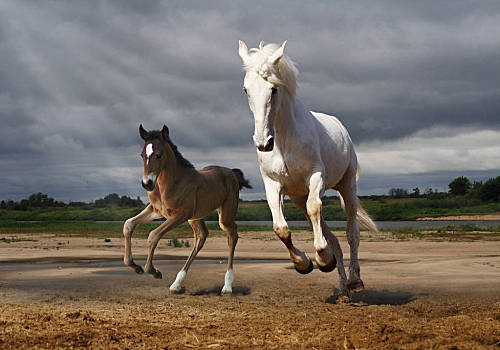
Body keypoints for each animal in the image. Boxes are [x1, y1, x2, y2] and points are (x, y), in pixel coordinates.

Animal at [237, 41, 376, 296]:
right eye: (246, 89)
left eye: (274, 89)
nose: (263, 142)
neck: (284, 141)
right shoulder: (273, 186)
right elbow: (280, 228)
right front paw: (306, 264)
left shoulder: (316, 177)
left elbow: (315, 208)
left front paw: (322, 259)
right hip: (298, 196)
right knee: (332, 237)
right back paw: (342, 288)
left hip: (347, 186)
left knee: (352, 234)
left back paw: (355, 281)